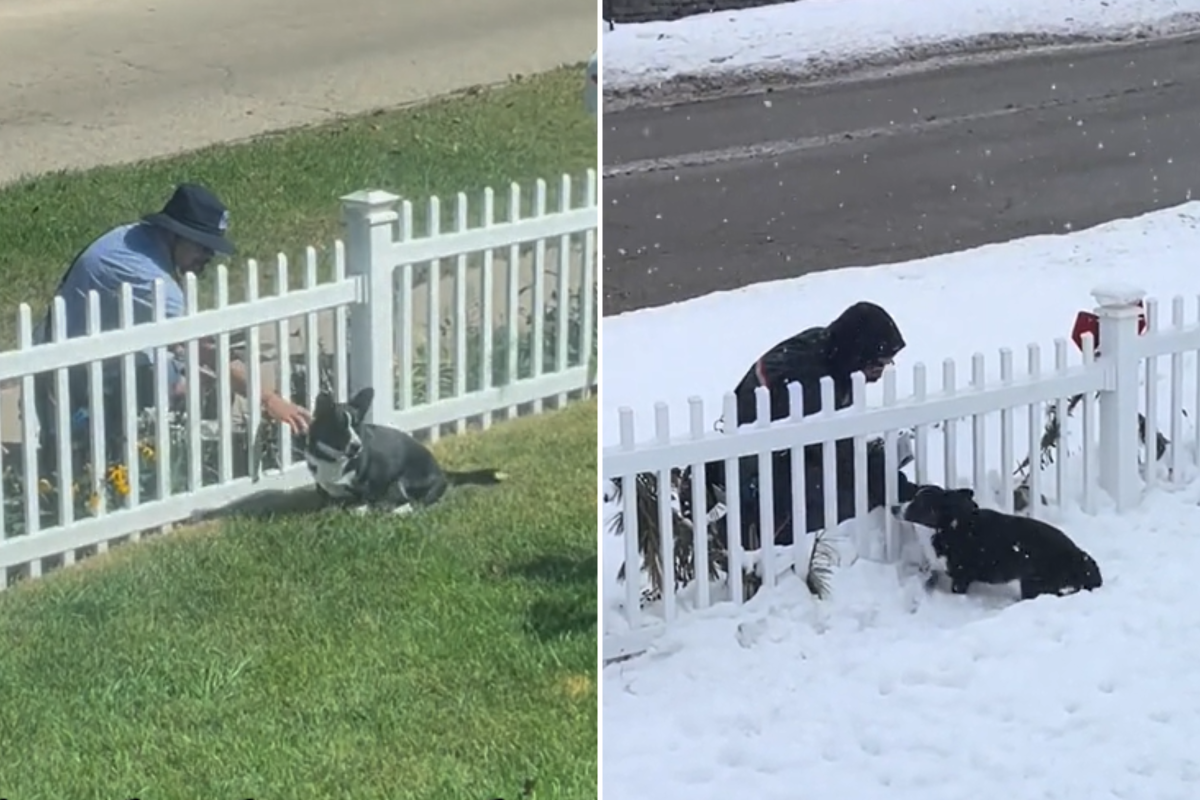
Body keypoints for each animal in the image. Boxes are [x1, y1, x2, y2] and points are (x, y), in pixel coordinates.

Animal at [304, 386, 506, 513]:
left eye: (357, 425)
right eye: (339, 427)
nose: (357, 446)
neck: (334, 460)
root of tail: (442, 473)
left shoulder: (372, 485)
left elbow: (363, 502)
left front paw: (360, 510)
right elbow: (328, 501)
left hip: (402, 480)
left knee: (411, 504)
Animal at [892, 484, 1104, 597]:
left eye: (920, 504)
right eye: (912, 496)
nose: (894, 508)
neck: (947, 526)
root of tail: (1078, 554)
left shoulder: (961, 577)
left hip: (1035, 583)